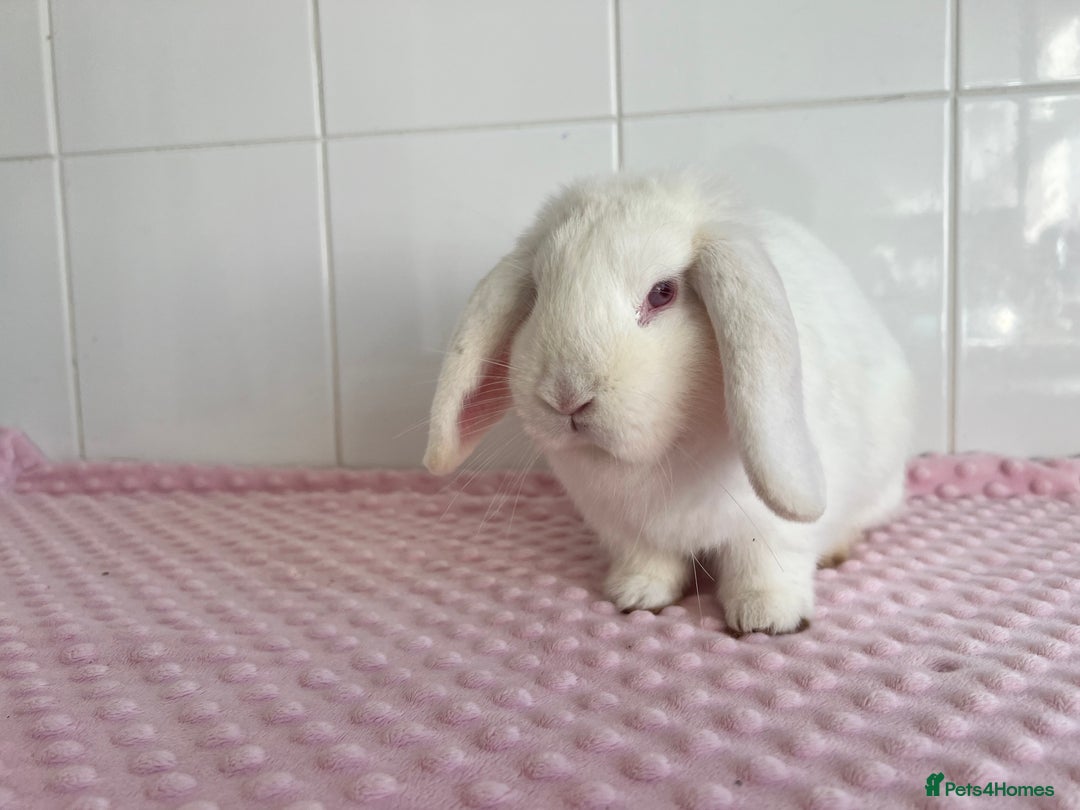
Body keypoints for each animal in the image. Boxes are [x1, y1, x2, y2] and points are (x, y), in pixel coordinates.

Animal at [424, 171, 914, 634]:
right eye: (539, 294)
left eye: (662, 293)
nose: (566, 397)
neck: (660, 453)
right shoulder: (627, 530)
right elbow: (649, 563)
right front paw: (636, 595)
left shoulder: (768, 530)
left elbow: (766, 566)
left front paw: (767, 617)